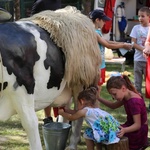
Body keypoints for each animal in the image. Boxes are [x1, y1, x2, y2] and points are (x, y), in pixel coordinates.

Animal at [0, 8, 99, 150]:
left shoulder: (24, 87)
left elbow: (30, 123)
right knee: (66, 109)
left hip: (80, 82)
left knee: (80, 111)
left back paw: (72, 144)